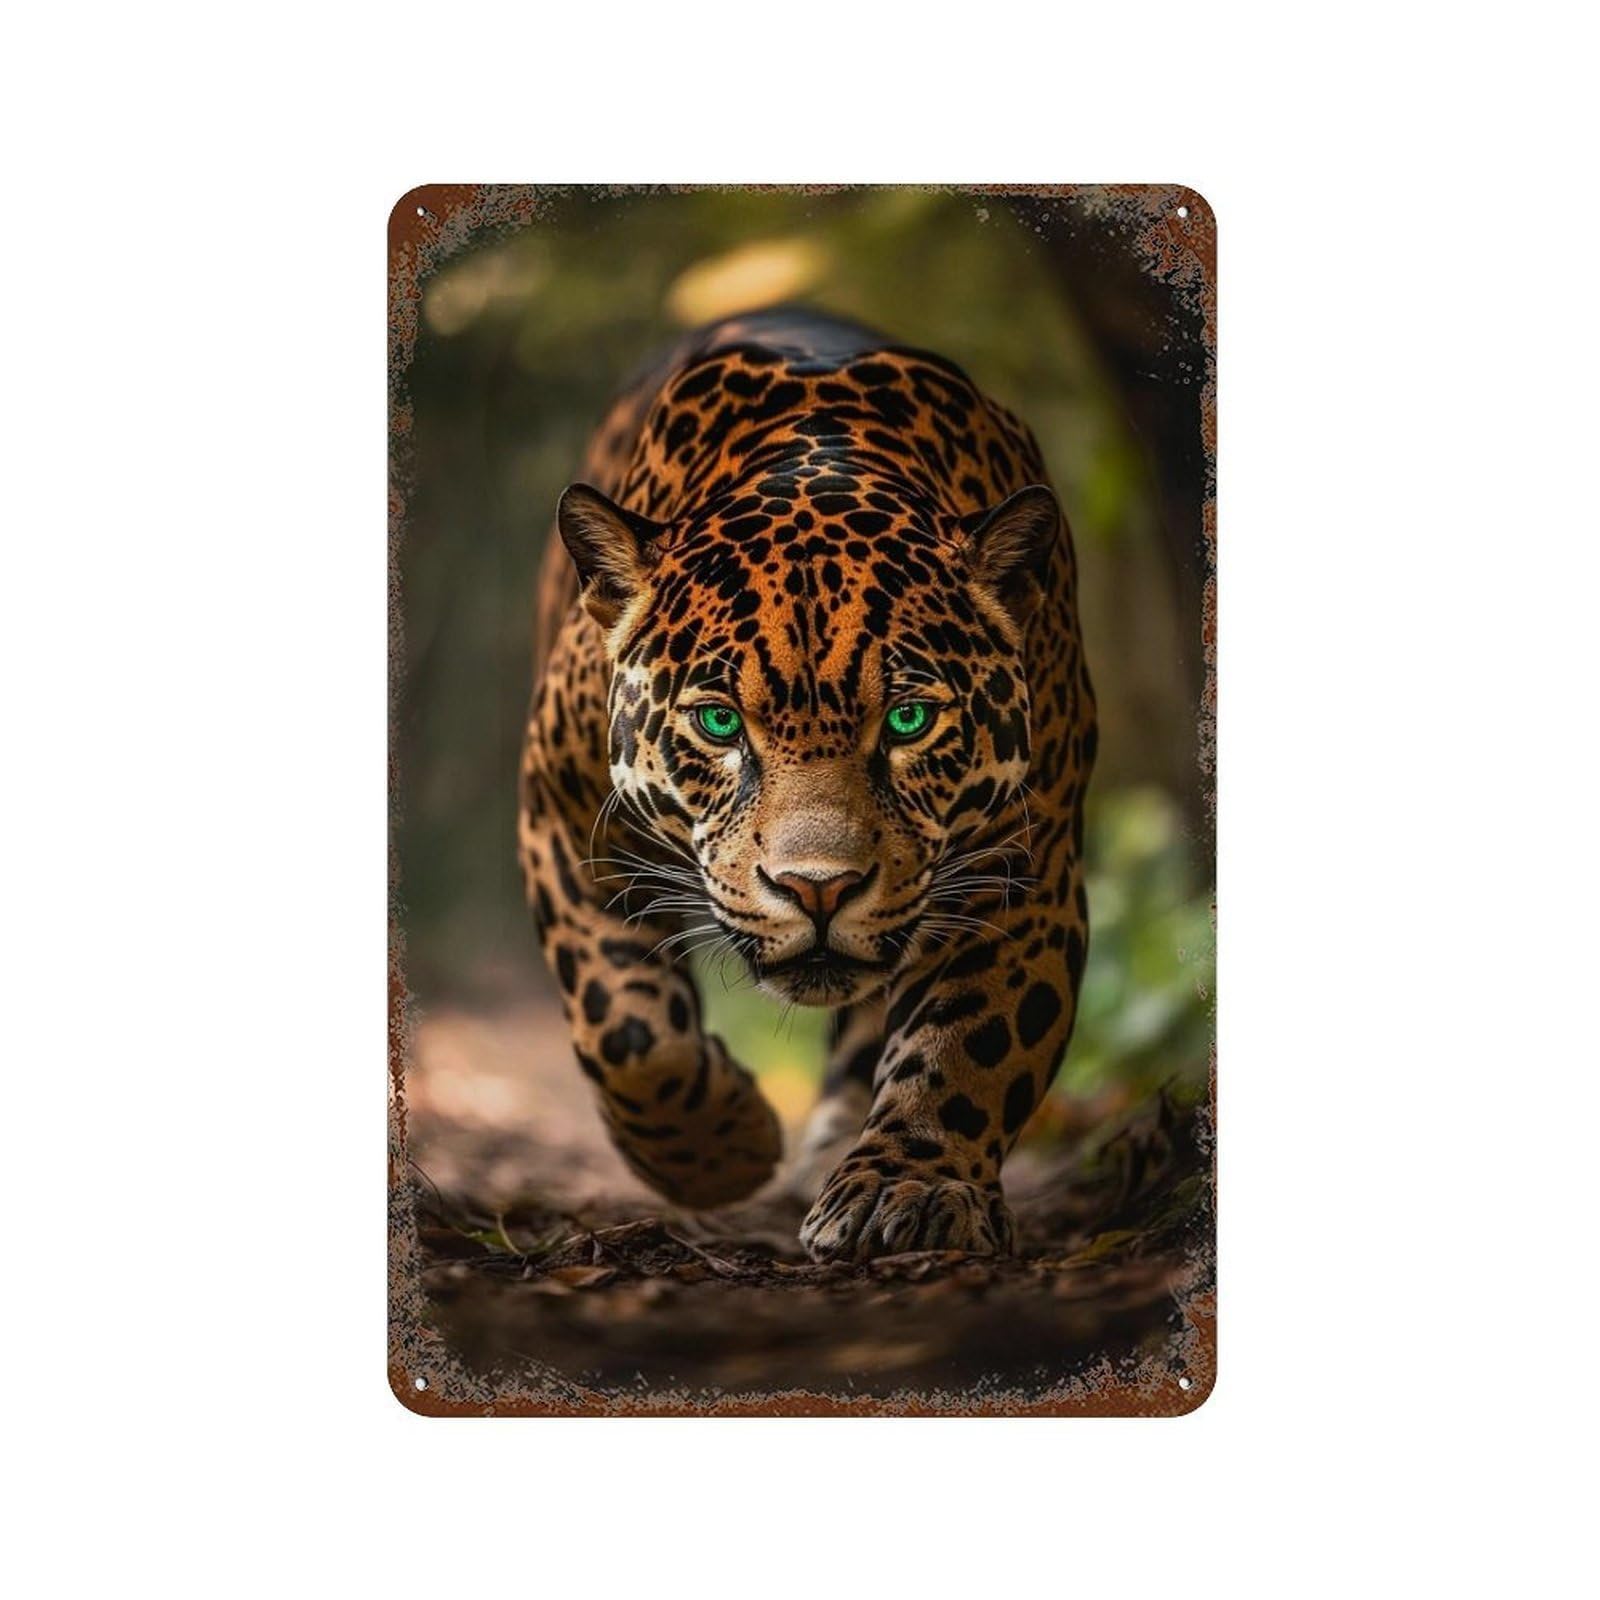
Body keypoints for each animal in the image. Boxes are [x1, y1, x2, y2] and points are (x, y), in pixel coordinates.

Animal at [519, 307, 1096, 1262]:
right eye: (719, 725)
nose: (816, 890)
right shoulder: (562, 809)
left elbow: (972, 1041)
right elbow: (626, 1028)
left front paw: (908, 1184)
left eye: (909, 720)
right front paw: (721, 1152)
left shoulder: (1021, 865)